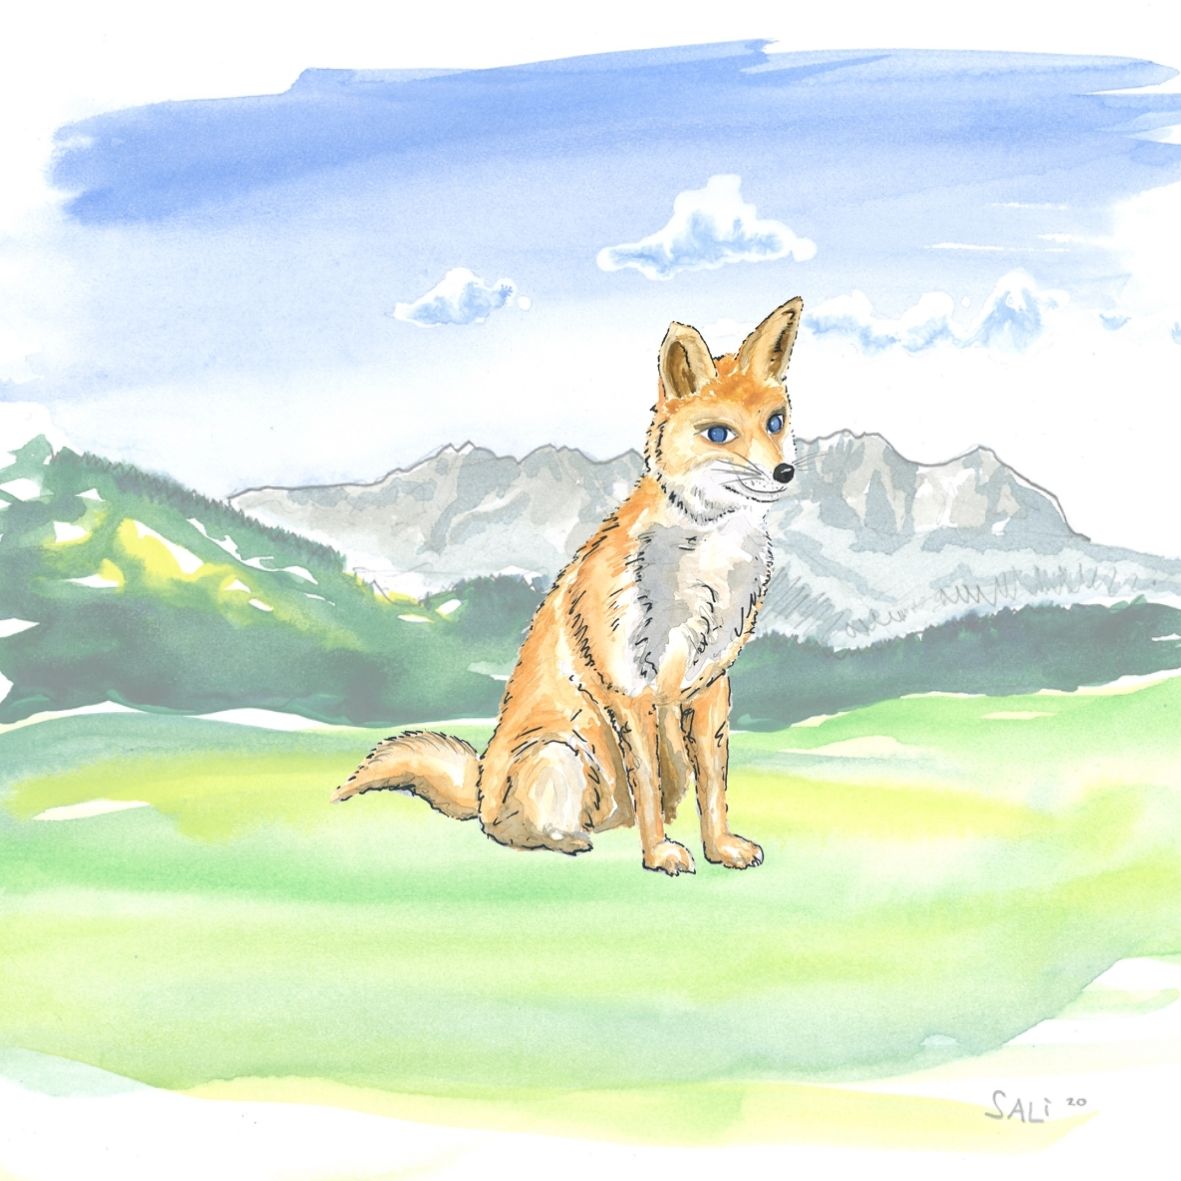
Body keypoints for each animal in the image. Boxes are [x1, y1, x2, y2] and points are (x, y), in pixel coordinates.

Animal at [333, 296, 804, 875]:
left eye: (775, 421)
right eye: (719, 434)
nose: (784, 473)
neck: (707, 568)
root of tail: (482, 783)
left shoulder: (710, 684)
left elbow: (714, 787)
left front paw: (720, 848)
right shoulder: (632, 686)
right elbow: (648, 784)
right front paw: (659, 854)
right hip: (560, 754)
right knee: (507, 829)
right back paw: (568, 841)